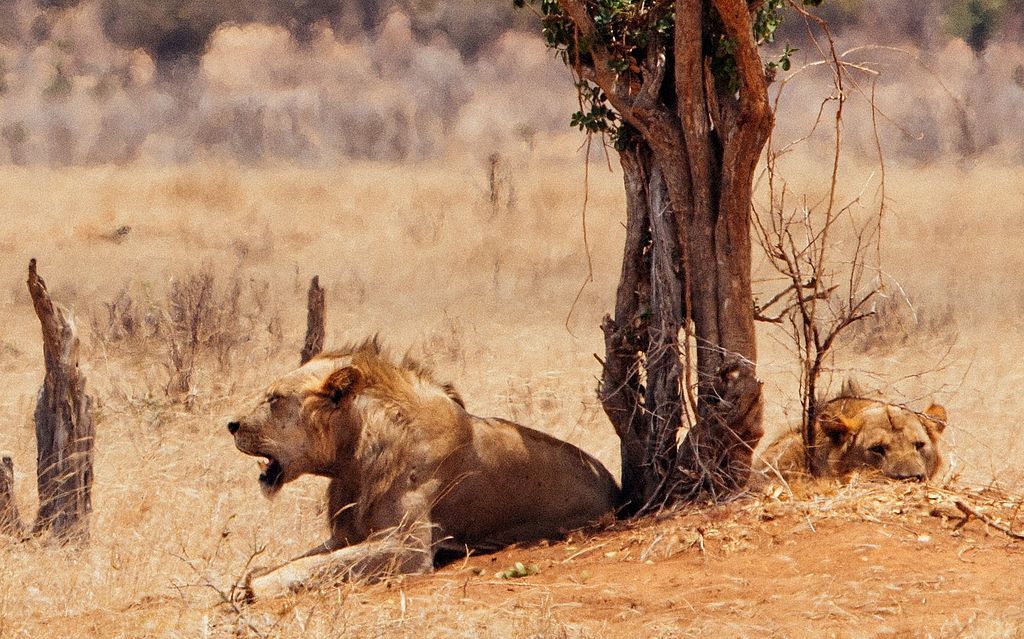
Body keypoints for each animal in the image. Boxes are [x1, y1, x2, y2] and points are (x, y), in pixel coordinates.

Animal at [227, 338, 620, 600]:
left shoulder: (408, 546)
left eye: (274, 399)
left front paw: (255, 586)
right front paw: (253, 574)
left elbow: (327, 565)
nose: (230, 425)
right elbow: (315, 558)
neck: (351, 460)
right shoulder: (346, 534)